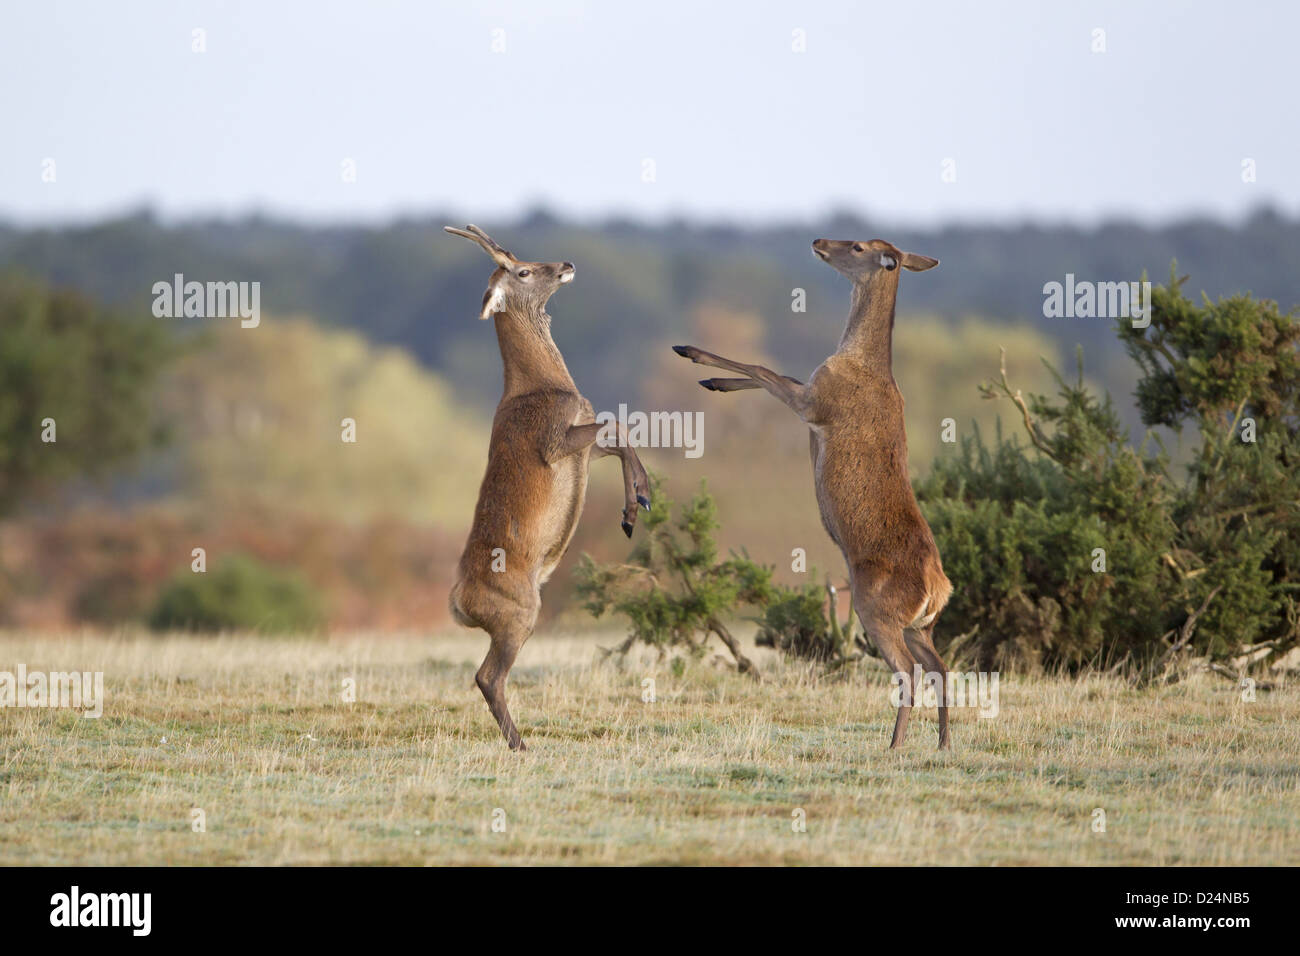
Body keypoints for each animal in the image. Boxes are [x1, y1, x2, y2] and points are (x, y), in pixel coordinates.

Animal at [444, 223, 650, 749]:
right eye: (521, 271)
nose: (567, 264)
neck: (544, 384)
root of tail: (458, 603)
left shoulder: (582, 449)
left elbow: (619, 434)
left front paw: (635, 505)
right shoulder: (554, 440)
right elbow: (617, 423)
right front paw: (637, 502)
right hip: (519, 612)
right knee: (487, 676)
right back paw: (519, 742)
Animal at [676, 238, 951, 749]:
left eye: (858, 245)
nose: (819, 241)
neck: (858, 361)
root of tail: (938, 589)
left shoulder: (816, 402)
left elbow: (764, 368)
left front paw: (692, 353)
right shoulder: (808, 393)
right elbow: (775, 372)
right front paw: (713, 381)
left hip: (875, 608)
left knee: (908, 670)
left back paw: (894, 744)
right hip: (921, 624)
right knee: (940, 667)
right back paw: (942, 743)